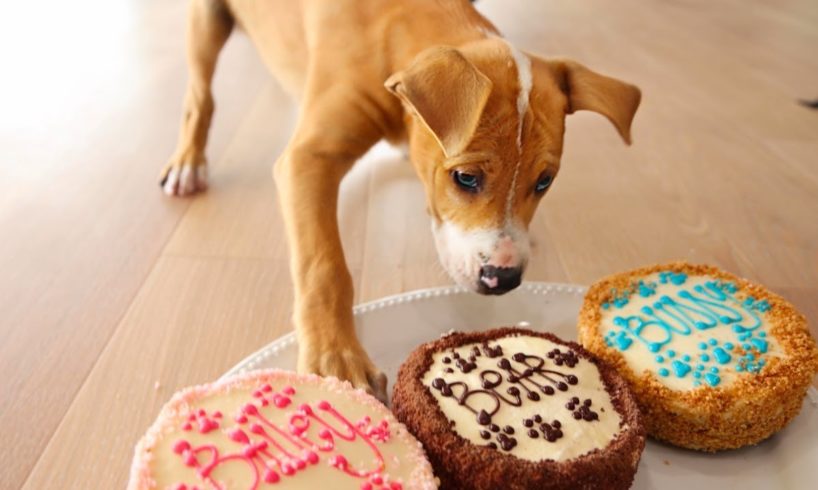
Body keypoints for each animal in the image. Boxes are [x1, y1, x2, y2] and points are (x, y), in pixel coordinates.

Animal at [163, 0, 640, 400]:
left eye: (544, 182)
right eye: (465, 177)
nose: (503, 279)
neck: (395, 27)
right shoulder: (308, 159)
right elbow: (324, 265)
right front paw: (336, 357)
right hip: (207, 20)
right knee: (198, 95)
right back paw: (188, 161)